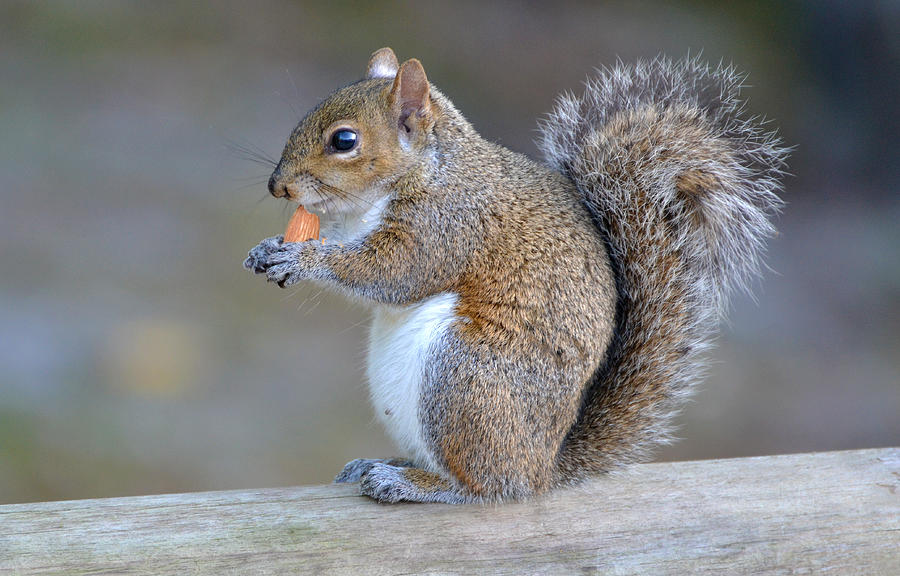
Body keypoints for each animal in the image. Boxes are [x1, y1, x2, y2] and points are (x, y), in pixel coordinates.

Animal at [243, 47, 784, 502]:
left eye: (344, 141)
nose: (276, 186)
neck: (426, 169)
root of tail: (543, 467)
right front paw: (268, 247)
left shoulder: (445, 224)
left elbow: (392, 273)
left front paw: (304, 259)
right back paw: (387, 465)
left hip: (464, 380)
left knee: (488, 485)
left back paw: (413, 483)